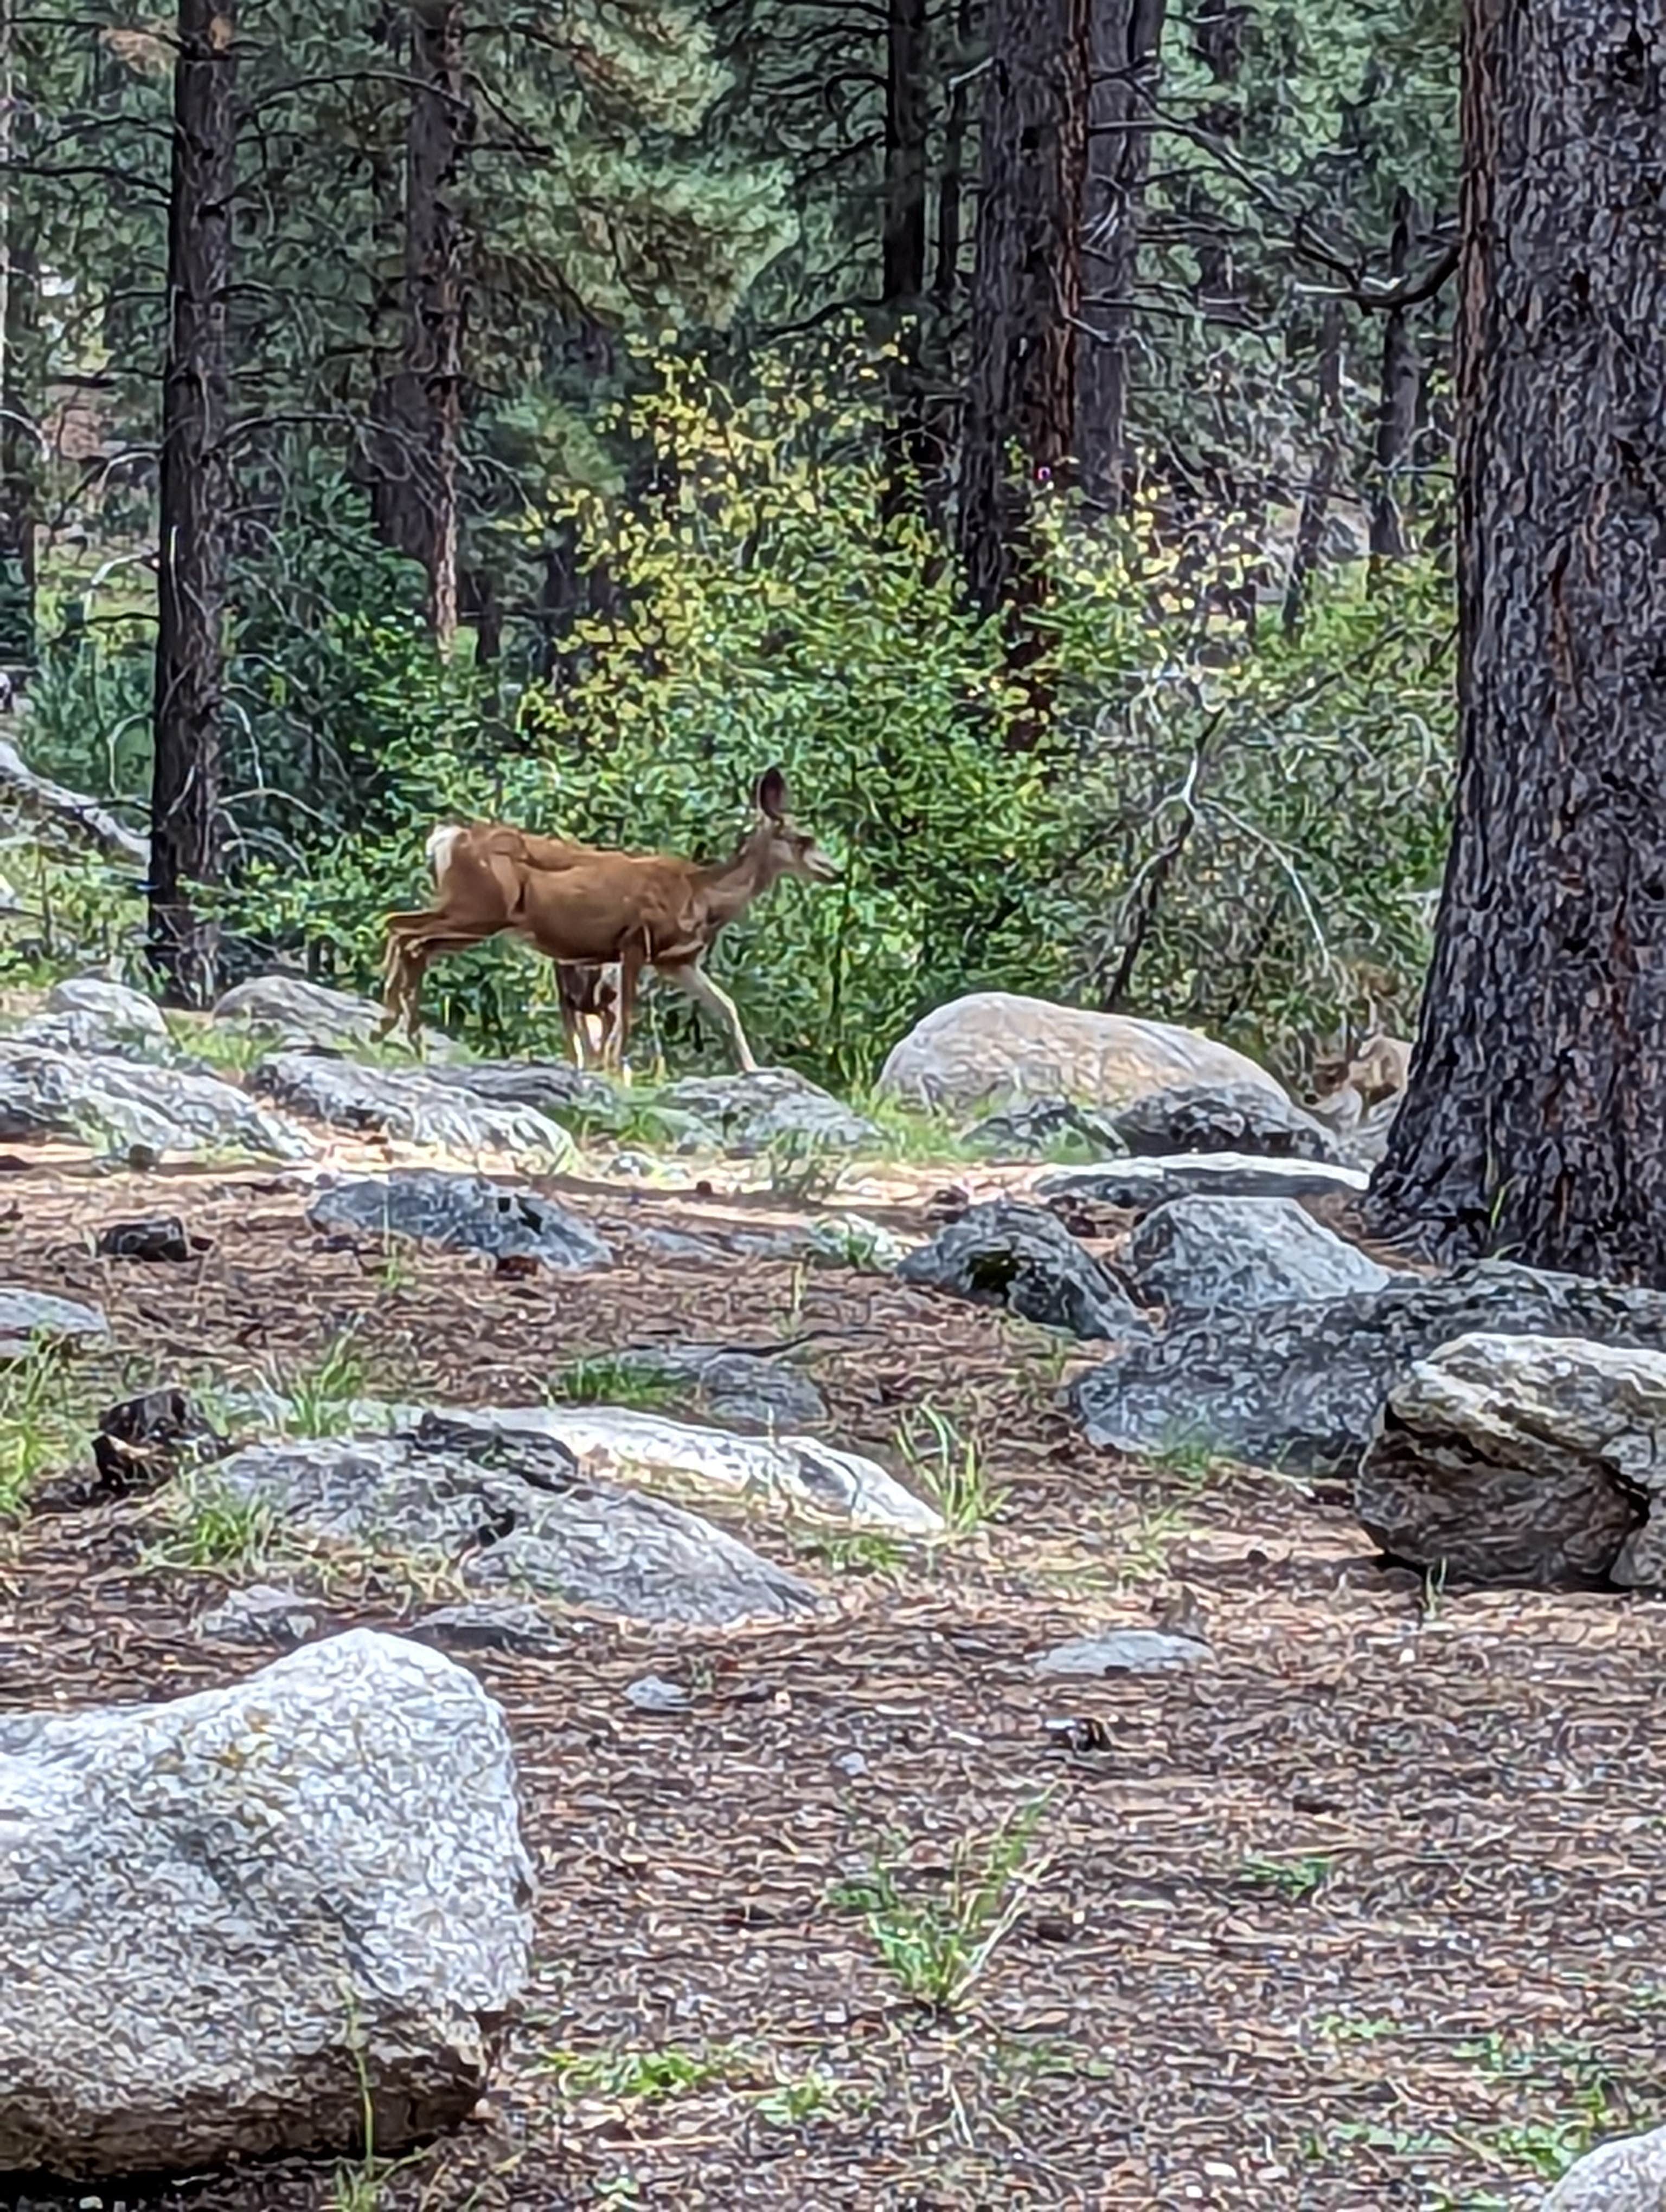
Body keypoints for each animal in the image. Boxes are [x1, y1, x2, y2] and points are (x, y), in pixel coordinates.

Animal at [382, 774, 836, 1075]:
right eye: (803, 839)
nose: (835, 871)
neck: (701, 895)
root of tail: (447, 838)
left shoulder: (676, 961)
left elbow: (725, 1007)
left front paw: (753, 1068)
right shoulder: (634, 942)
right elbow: (627, 1015)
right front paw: (616, 1071)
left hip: (471, 916)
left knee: (408, 936)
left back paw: (403, 1034)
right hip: (479, 909)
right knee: (405, 931)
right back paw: (394, 1025)